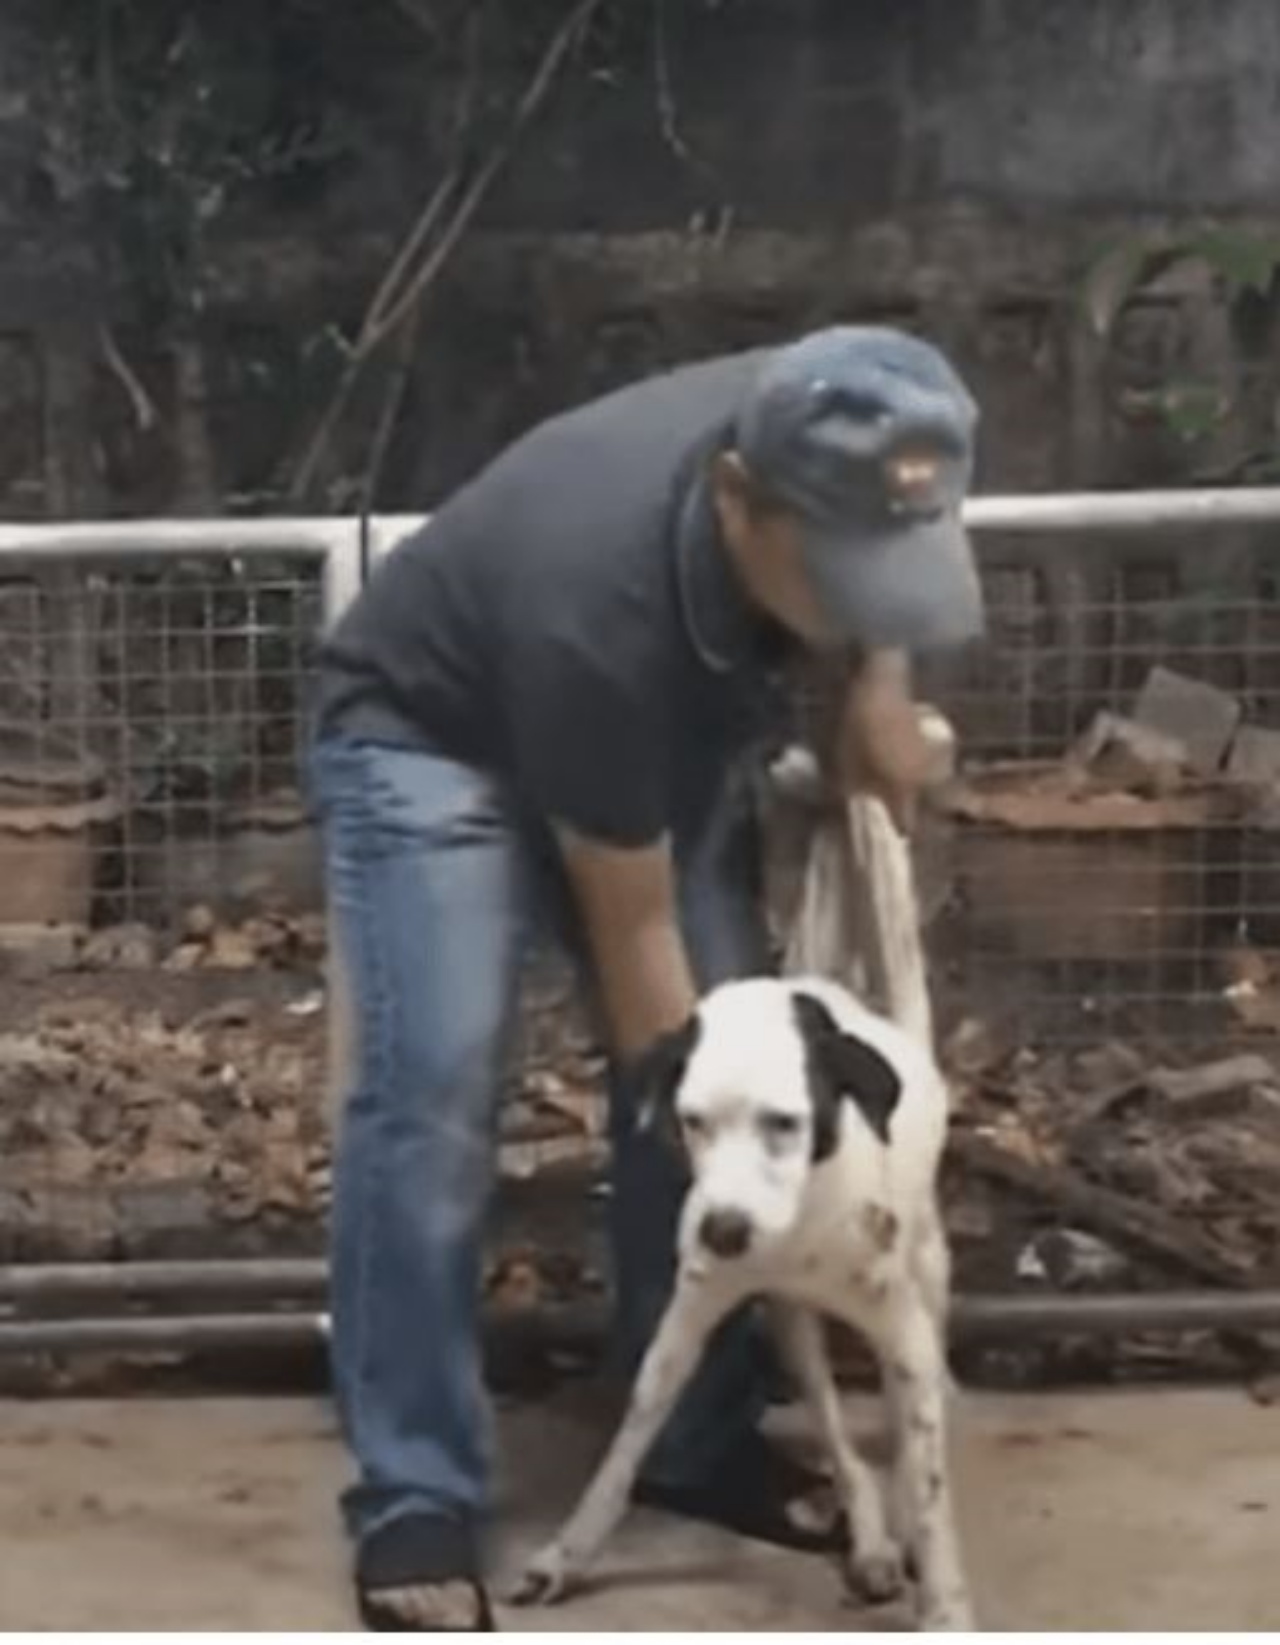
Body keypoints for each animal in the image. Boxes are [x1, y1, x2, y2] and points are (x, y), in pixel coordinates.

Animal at [510, 973, 967, 1631]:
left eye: (783, 1123)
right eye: (692, 1120)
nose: (722, 1232)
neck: (799, 1228)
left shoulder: (903, 1332)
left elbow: (929, 1490)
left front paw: (946, 1607)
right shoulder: (685, 1321)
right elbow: (629, 1440)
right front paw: (567, 1553)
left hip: (928, 1273)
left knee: (912, 1421)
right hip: (792, 1330)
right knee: (838, 1438)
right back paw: (872, 1543)